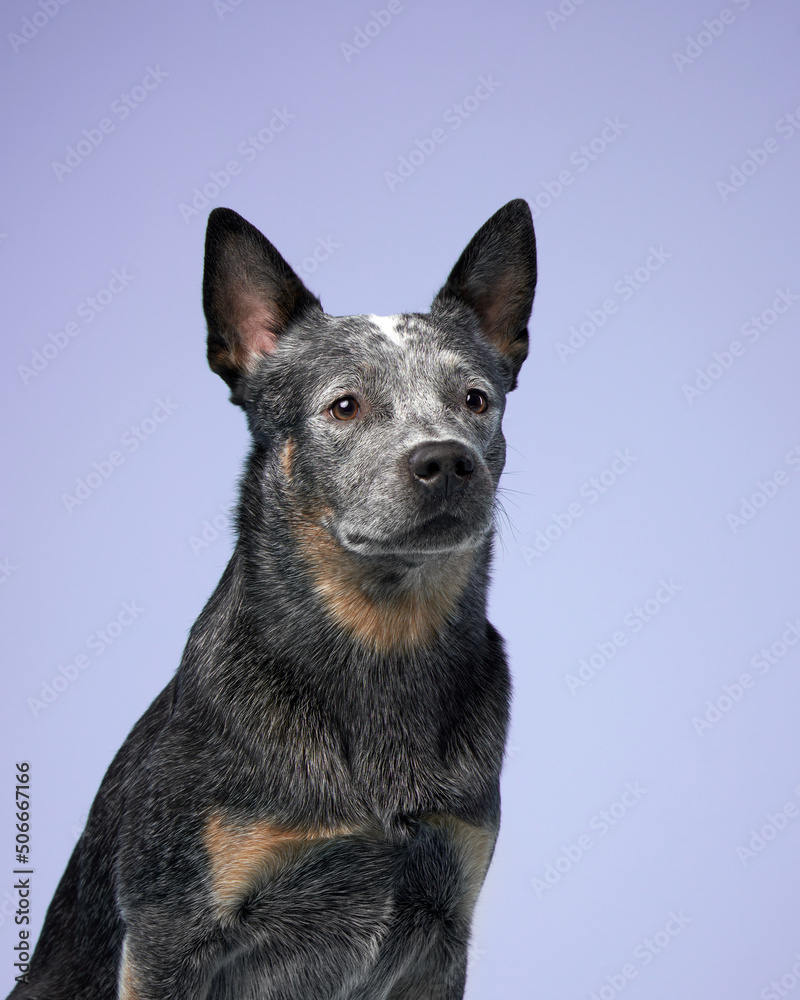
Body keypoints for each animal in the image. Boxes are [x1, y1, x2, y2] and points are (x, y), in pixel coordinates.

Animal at [9, 199, 536, 996]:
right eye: (344, 406)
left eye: (476, 399)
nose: (448, 461)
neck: (382, 648)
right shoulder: (170, 935)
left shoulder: (444, 929)